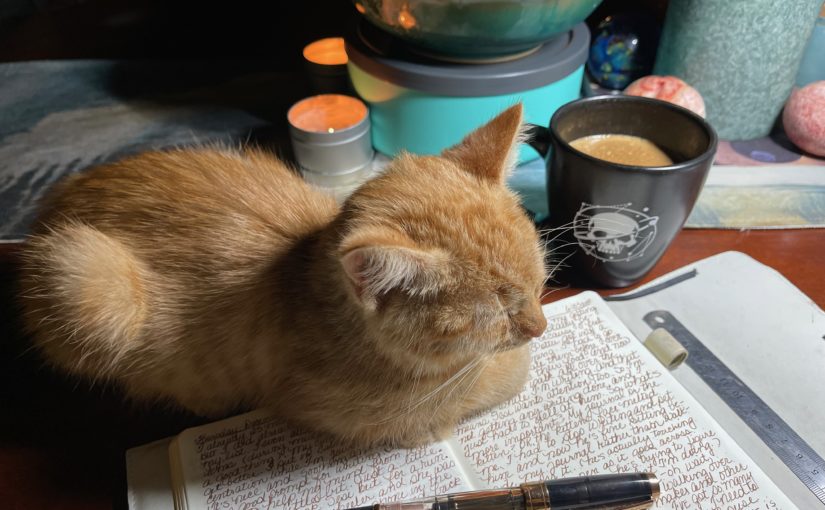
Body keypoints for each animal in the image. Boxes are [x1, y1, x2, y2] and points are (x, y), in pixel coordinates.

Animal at [17, 103, 548, 446]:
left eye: (540, 282)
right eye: (496, 312)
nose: (542, 327)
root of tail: (49, 210)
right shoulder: (346, 412)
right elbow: (498, 379)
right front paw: (507, 367)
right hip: (88, 277)